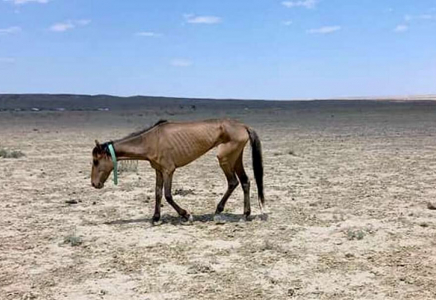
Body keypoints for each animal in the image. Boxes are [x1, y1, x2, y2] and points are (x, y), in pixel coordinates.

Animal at [90, 118, 264, 224]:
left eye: (96, 161)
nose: (94, 184)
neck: (151, 140)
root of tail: (243, 126)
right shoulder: (159, 171)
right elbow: (158, 193)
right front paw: (156, 217)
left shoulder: (169, 170)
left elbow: (167, 195)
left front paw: (186, 214)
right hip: (235, 158)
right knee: (245, 181)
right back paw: (245, 214)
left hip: (225, 158)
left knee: (233, 182)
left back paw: (221, 210)